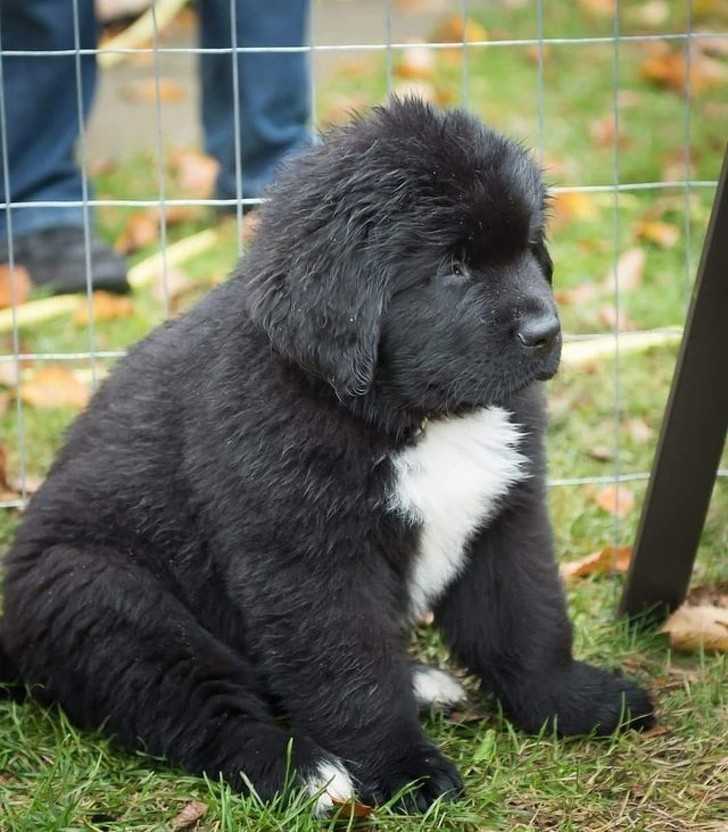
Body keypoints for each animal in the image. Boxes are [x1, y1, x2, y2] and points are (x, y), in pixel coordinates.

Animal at [0, 97, 652, 812]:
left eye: (529, 248)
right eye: (452, 267)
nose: (546, 332)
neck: (413, 416)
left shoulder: (504, 515)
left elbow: (526, 621)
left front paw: (576, 704)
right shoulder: (310, 560)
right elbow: (351, 675)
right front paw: (405, 771)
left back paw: (420, 683)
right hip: (105, 597)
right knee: (200, 708)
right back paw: (305, 772)